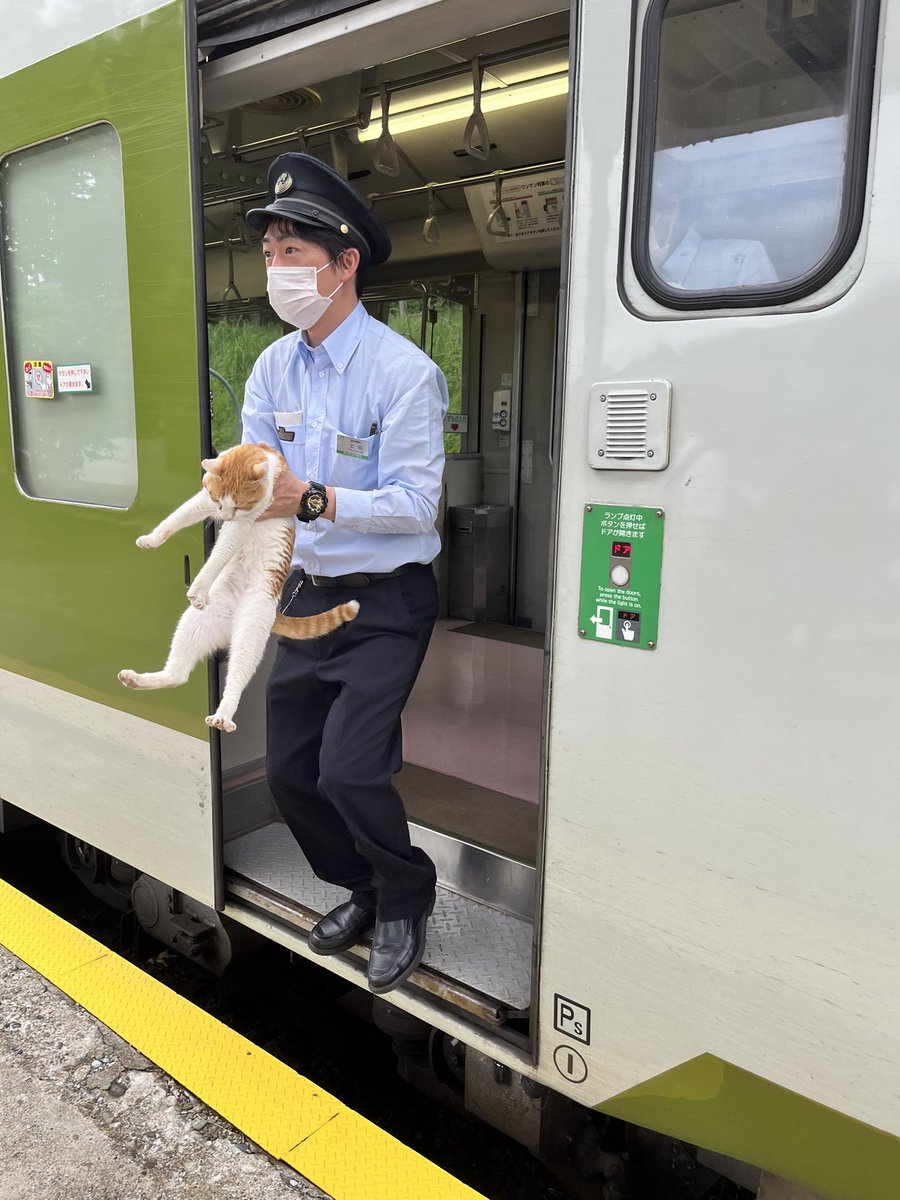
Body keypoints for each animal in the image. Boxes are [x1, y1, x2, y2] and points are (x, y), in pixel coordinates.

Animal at [118, 444, 357, 729]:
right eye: (219, 501)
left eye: (240, 505)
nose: (224, 516)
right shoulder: (204, 499)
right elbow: (176, 518)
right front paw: (151, 539)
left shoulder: (244, 520)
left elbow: (217, 557)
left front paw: (198, 587)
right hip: (194, 623)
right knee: (178, 674)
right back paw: (137, 679)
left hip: (250, 632)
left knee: (235, 679)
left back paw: (223, 715)